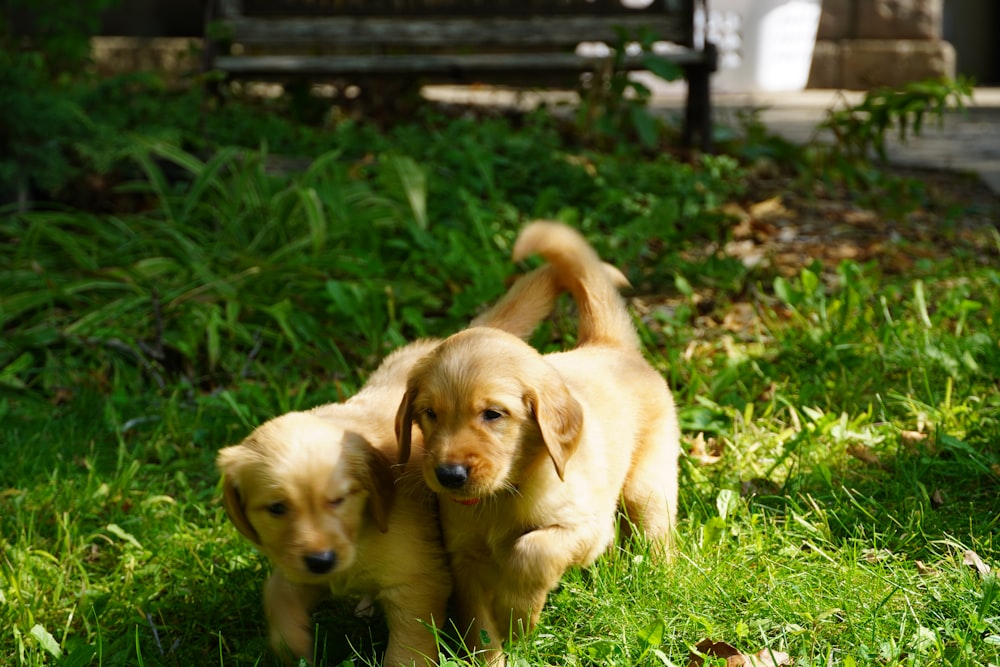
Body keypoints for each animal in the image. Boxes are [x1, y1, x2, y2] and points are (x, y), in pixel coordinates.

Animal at [218, 264, 620, 664]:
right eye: (276, 508)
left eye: (339, 500)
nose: (321, 559)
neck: (362, 530)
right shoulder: (300, 562)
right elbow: (278, 592)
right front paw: (295, 646)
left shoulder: (418, 582)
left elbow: (408, 646)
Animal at [396, 222, 680, 664]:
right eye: (429, 413)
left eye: (493, 414)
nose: (449, 475)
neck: (502, 497)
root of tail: (609, 346)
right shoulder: (465, 560)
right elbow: (478, 624)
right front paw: (494, 654)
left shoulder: (585, 529)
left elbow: (532, 550)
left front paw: (516, 617)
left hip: (647, 484)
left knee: (656, 534)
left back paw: (658, 581)